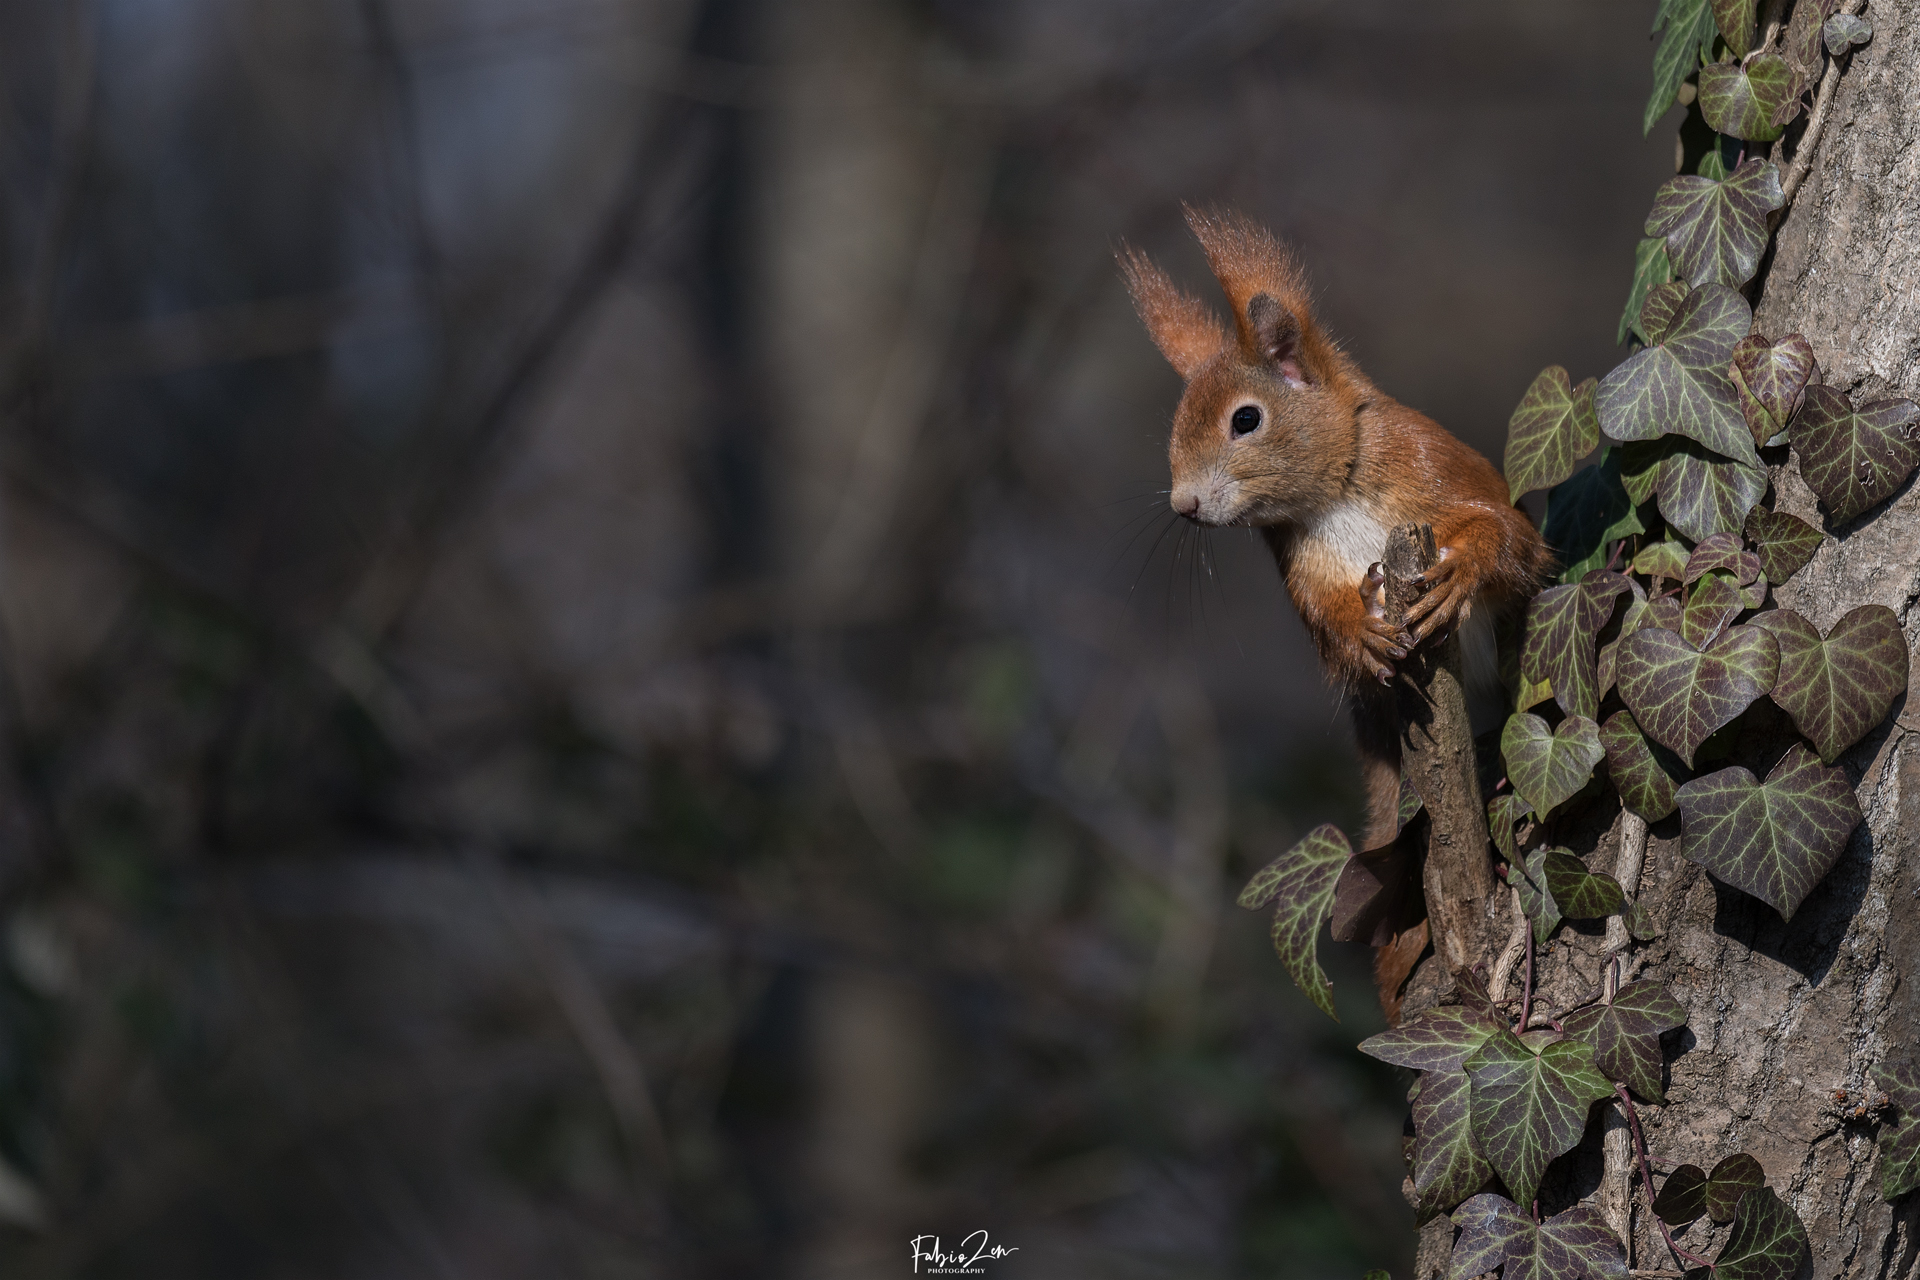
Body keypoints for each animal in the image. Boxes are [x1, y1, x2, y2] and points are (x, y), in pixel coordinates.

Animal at [1119, 207, 1552, 1011]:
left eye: (1246, 420)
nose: (1184, 505)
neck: (1334, 492)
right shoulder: (1302, 568)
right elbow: (1330, 627)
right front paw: (1361, 635)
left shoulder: (1440, 468)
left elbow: (1511, 538)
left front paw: (1464, 567)